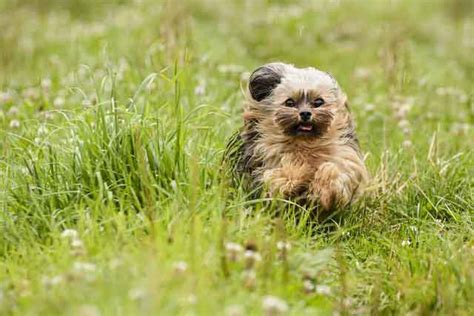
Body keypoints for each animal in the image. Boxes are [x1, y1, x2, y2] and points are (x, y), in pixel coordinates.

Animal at [224, 62, 368, 211]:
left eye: (318, 102)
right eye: (289, 102)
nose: (305, 113)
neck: (304, 143)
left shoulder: (345, 159)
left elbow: (336, 172)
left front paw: (322, 190)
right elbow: (280, 176)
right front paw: (301, 171)